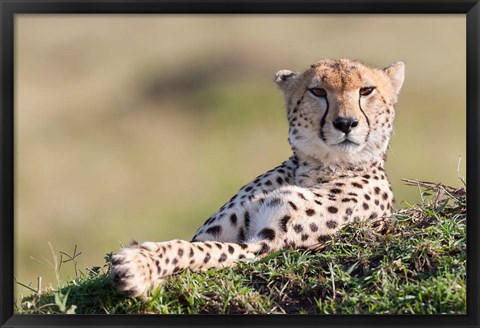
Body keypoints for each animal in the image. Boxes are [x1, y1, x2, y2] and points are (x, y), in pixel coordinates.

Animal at [111, 58, 404, 298]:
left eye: (366, 91)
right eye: (318, 91)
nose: (345, 123)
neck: (319, 167)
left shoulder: (262, 248)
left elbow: (199, 251)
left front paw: (137, 267)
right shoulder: (211, 234)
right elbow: (185, 245)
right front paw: (142, 261)